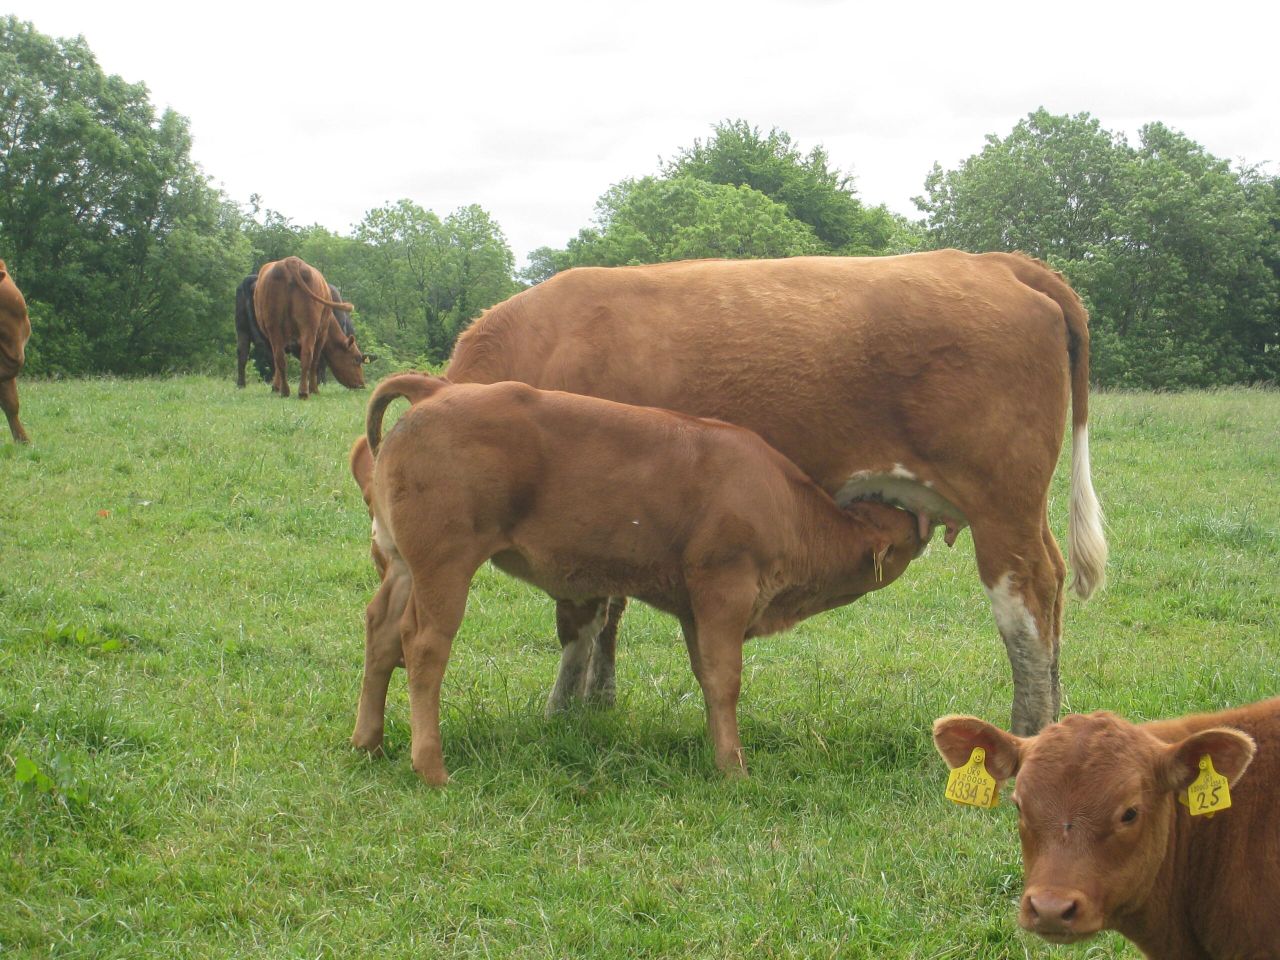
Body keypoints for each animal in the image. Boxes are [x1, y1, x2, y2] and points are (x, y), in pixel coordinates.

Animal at [252, 257, 368, 398]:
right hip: (309, 327)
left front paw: (275, 387)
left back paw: (286, 391)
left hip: (276, 326)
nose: (362, 384)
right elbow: (316, 361)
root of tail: (292, 261)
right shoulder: (322, 333)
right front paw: (314, 388)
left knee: (281, 357)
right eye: (356, 359)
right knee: (308, 356)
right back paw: (306, 391)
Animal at [359, 373, 923, 784]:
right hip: (445, 564)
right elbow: (726, 678)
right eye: (903, 534)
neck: (783, 502)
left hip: (403, 564)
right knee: (423, 646)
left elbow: (707, 676)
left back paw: (368, 742)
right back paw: (431, 767)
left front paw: (717, 750)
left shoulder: (695, 606)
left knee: (381, 632)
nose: (923, 521)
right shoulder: (725, 587)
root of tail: (438, 389)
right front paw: (734, 769)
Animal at [445, 250, 1108, 734]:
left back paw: (1027, 729)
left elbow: (579, 620)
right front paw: (597, 704)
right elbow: (610, 608)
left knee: (1027, 598)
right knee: (1052, 587)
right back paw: (1055, 717)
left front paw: (559, 714)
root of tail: (996, 261)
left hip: (1001, 504)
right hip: (1024, 508)